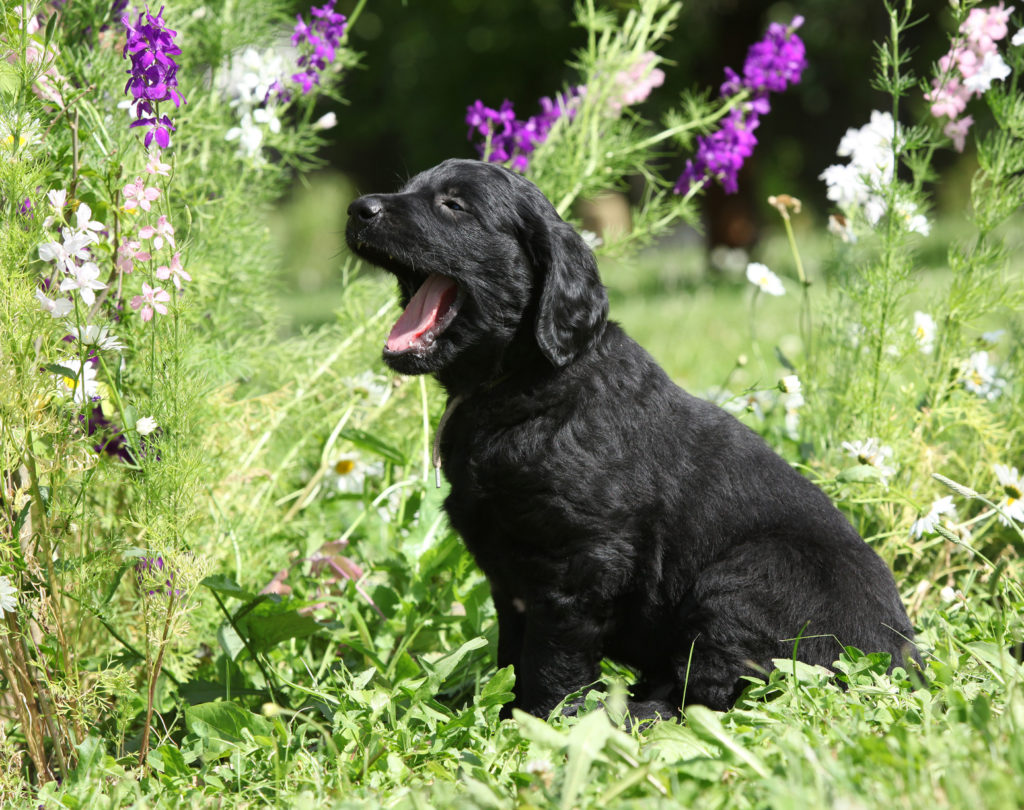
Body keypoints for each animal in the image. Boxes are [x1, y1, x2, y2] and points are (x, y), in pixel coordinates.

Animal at [346, 159, 921, 720]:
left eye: (454, 205)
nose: (358, 209)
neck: (524, 385)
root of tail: (903, 663)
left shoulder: (582, 562)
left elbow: (552, 657)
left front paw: (544, 720)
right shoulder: (510, 577)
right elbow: (513, 651)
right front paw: (499, 708)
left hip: (750, 579)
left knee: (711, 694)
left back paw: (631, 712)